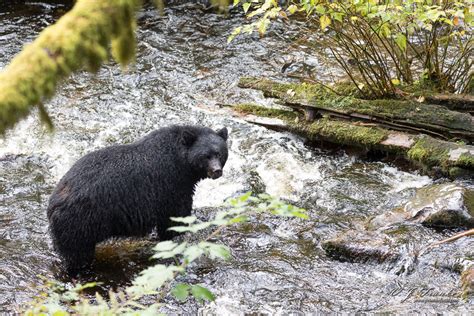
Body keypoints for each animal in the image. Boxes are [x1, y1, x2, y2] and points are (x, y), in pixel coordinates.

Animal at [47, 125, 229, 274]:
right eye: (205, 156)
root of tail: (53, 204)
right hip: (80, 224)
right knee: (78, 256)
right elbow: (175, 219)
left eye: (219, 153)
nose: (216, 171)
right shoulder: (172, 186)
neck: (184, 166)